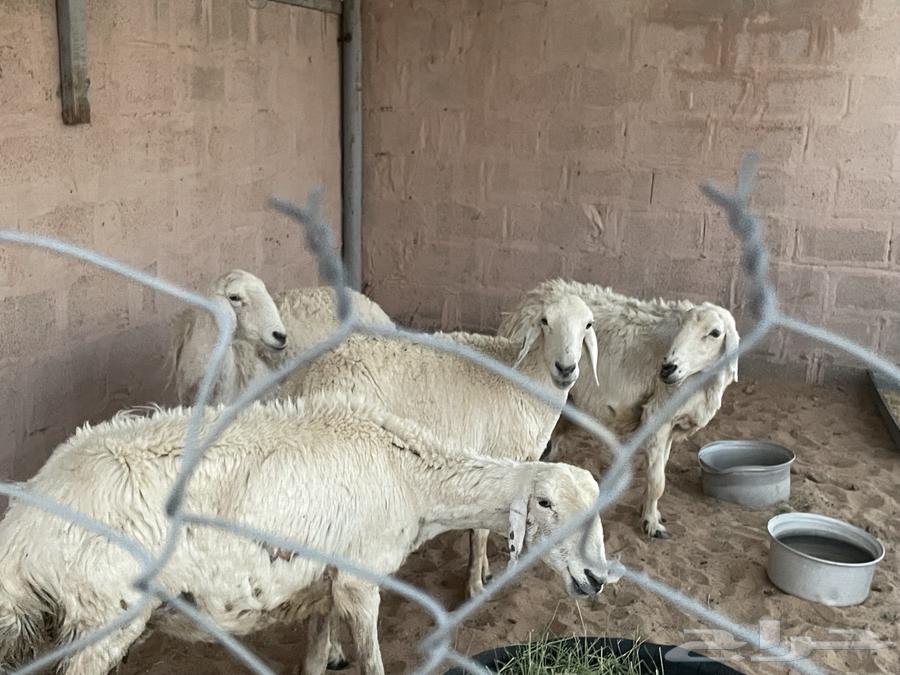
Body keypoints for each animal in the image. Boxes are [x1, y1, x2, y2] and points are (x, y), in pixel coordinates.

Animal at [0, 393, 615, 675]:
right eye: (545, 503)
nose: (596, 578)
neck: (411, 479)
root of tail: (21, 536)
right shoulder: (360, 583)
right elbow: (371, 662)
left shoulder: (323, 581)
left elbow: (317, 657)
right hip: (103, 613)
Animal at [277, 293, 599, 601]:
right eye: (545, 321)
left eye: (588, 324)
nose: (566, 368)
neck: (526, 377)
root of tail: (310, 377)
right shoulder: (499, 458)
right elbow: (480, 533)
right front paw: (475, 586)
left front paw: (484, 571)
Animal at [498, 278, 739, 540]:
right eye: (682, 327)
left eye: (715, 333)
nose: (668, 368)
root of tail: (532, 297)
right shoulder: (657, 414)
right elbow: (658, 480)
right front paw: (652, 524)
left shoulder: (671, 425)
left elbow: (659, 471)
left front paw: (650, 512)